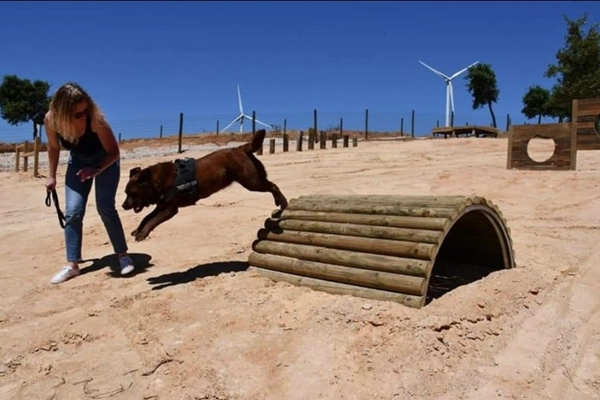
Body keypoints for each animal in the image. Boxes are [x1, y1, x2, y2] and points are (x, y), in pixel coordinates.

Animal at [120, 129, 288, 241]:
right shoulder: (161, 207)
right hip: (254, 179)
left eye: (131, 193)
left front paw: (143, 233)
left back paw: (282, 201)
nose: (123, 205)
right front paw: (138, 229)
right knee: (271, 184)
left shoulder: (170, 209)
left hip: (252, 182)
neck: (156, 181)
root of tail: (241, 148)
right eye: (126, 193)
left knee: (273, 186)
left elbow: (152, 220)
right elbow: (146, 217)